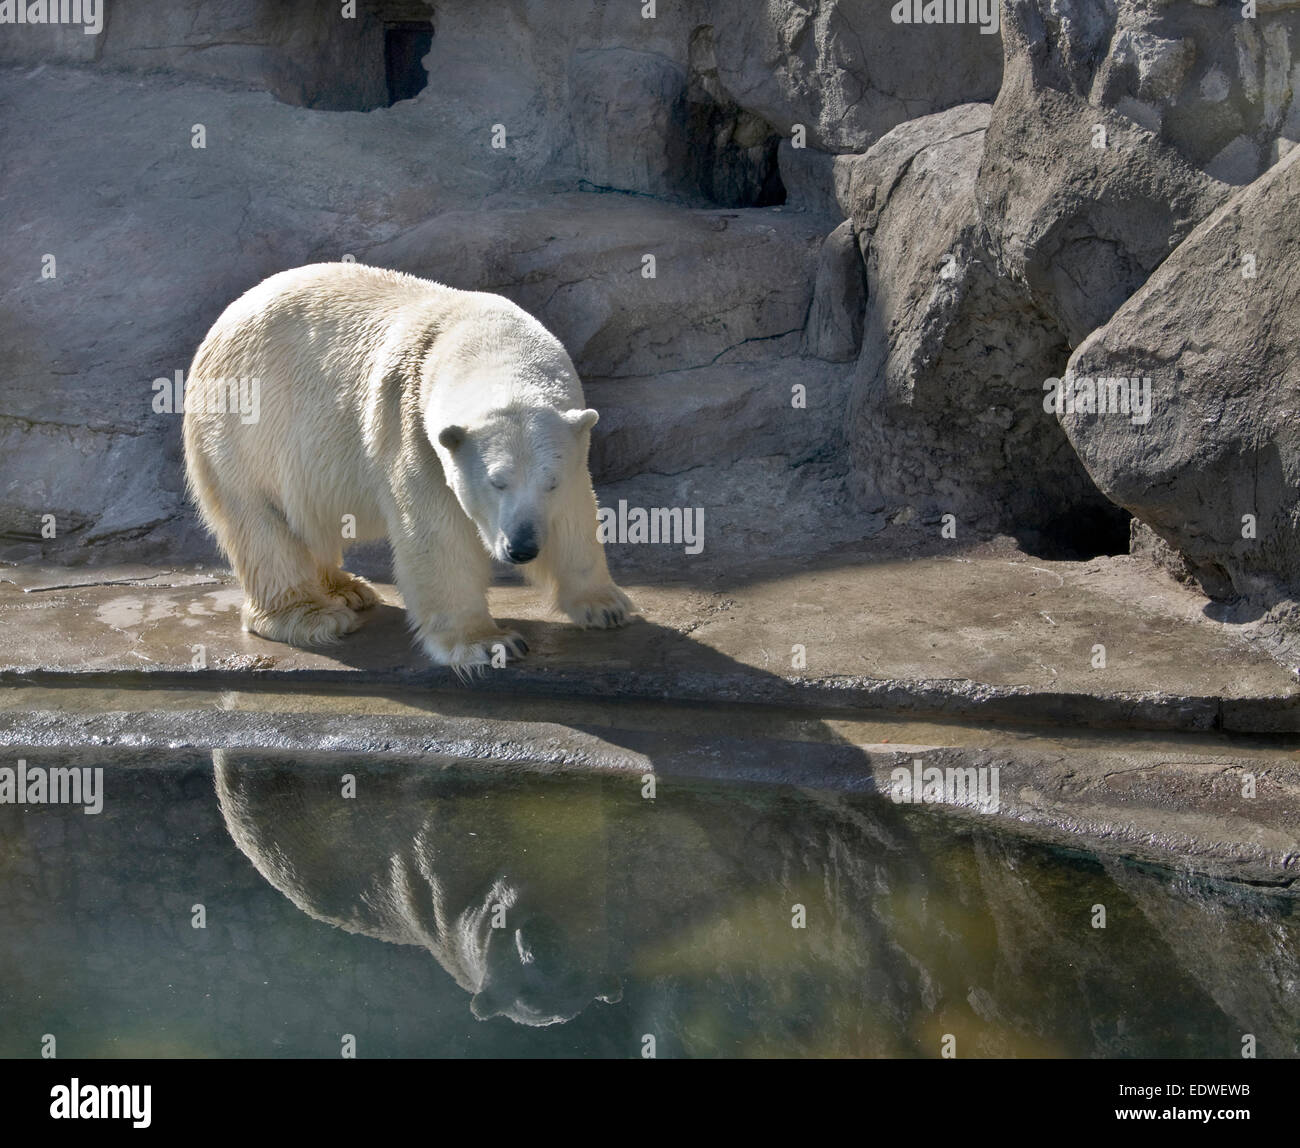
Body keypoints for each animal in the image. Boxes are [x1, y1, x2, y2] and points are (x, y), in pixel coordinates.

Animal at [182, 261, 629, 670]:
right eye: (495, 482)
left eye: (550, 483)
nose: (521, 547)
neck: (482, 337)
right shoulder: (413, 427)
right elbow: (437, 531)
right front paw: (488, 644)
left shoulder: (572, 443)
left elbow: (575, 515)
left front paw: (605, 606)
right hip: (244, 427)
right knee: (263, 522)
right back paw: (313, 615)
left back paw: (347, 588)